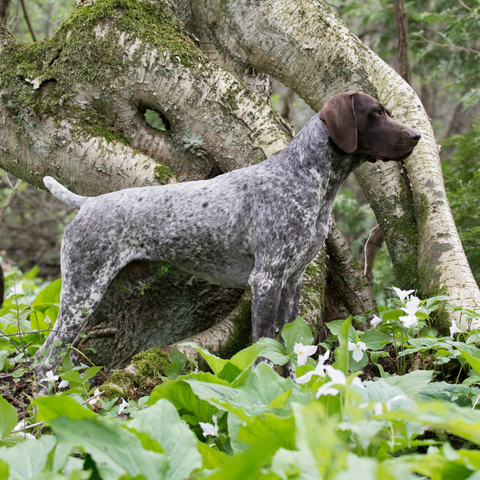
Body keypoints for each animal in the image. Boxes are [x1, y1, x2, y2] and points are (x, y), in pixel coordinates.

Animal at [34, 92, 420, 388]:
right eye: (375, 113)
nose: (416, 135)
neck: (308, 178)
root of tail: (87, 202)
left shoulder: (291, 282)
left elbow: (291, 345)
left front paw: (293, 393)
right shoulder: (265, 280)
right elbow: (263, 347)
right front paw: (262, 391)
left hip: (104, 295)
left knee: (52, 351)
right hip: (83, 293)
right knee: (45, 356)